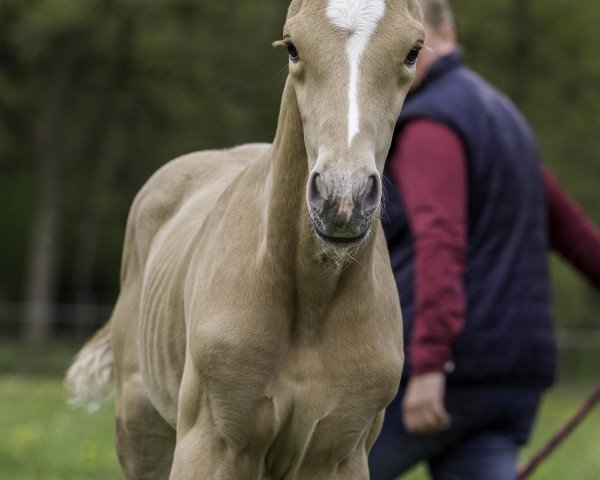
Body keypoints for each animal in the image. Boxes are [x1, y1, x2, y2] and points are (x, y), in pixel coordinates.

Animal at [67, 1, 422, 478]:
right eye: (292, 46)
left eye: (413, 51)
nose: (341, 198)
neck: (310, 307)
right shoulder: (210, 444)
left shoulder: (338, 457)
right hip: (140, 428)